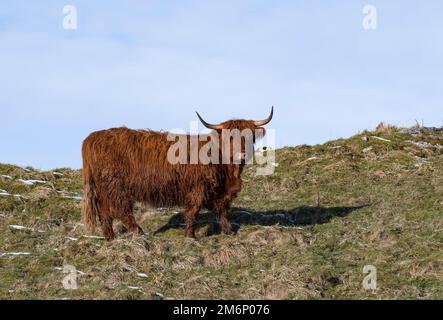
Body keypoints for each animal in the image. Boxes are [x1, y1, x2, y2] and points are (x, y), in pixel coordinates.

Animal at [81, 108, 272, 240]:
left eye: (249, 136)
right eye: (229, 137)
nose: (241, 154)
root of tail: (92, 138)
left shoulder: (219, 191)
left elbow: (222, 211)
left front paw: (229, 231)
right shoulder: (198, 189)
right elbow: (193, 212)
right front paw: (190, 236)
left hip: (104, 188)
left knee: (104, 211)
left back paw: (110, 238)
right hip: (116, 186)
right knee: (120, 210)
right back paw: (139, 232)